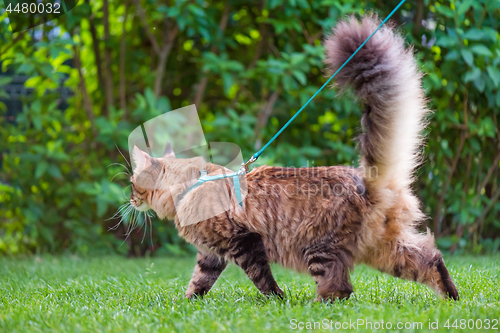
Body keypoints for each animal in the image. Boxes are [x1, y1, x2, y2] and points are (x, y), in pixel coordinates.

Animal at [127, 15, 458, 300]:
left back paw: (315, 306)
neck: (190, 187)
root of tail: (368, 181)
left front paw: (278, 300)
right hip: (385, 250)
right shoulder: (211, 253)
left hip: (320, 248)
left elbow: (262, 278)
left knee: (340, 288)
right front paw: (187, 303)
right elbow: (199, 281)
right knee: (430, 259)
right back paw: (451, 298)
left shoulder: (244, 241)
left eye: (132, 183)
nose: (129, 199)